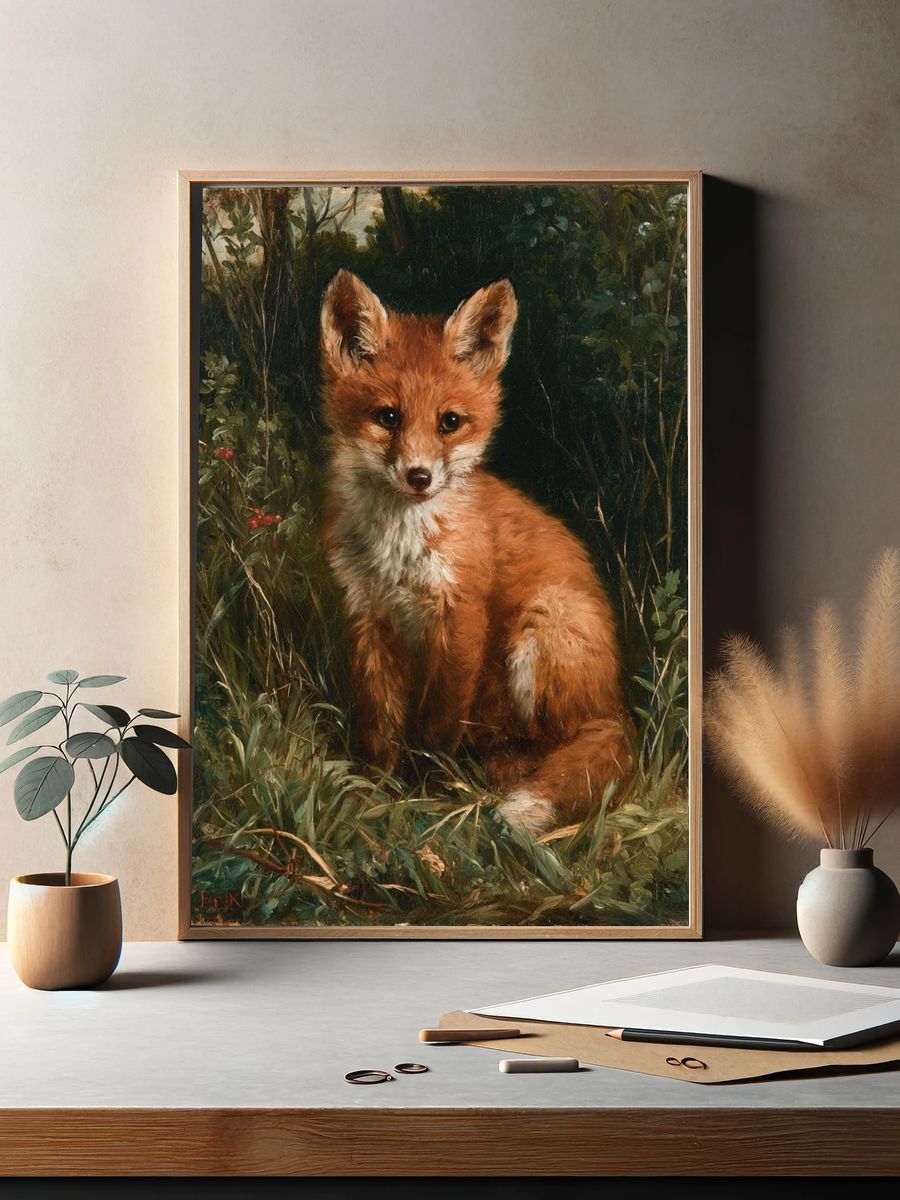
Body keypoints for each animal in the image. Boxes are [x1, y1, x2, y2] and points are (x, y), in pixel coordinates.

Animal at [319, 269, 630, 833]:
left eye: (449, 422)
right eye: (387, 416)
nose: (419, 477)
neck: (399, 550)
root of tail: (617, 708)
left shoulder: (461, 614)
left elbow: (436, 723)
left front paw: (423, 790)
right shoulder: (367, 612)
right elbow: (379, 722)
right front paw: (375, 790)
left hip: (544, 625)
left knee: (557, 743)